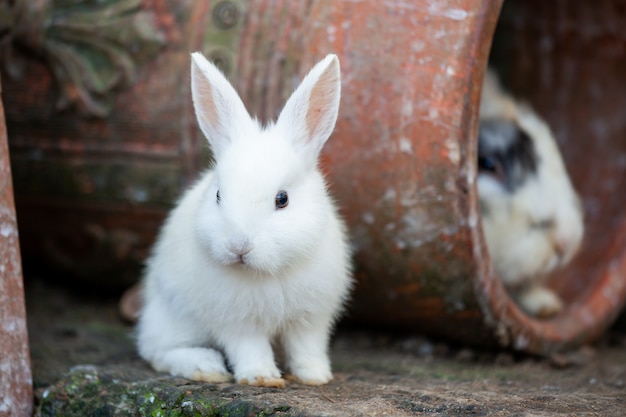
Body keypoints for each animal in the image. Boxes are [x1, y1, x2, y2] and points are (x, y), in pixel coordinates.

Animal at [136, 52, 352, 386]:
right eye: (218, 195)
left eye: (282, 199)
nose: (239, 247)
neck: (268, 272)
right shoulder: (237, 322)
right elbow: (250, 348)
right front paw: (261, 377)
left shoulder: (310, 319)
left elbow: (307, 348)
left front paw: (315, 376)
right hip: (173, 317)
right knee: (158, 352)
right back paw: (206, 367)